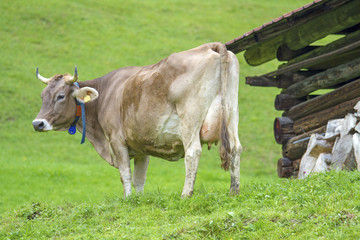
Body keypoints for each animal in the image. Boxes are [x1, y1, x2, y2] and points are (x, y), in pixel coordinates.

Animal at [32, 42, 242, 197]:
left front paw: (128, 199)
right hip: (231, 112)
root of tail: (209, 46)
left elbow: (125, 175)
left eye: (60, 96)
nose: (37, 123)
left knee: (193, 153)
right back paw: (234, 191)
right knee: (235, 148)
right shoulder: (142, 147)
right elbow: (139, 179)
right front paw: (139, 200)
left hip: (189, 118)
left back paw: (185, 195)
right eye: (42, 95)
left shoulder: (116, 141)